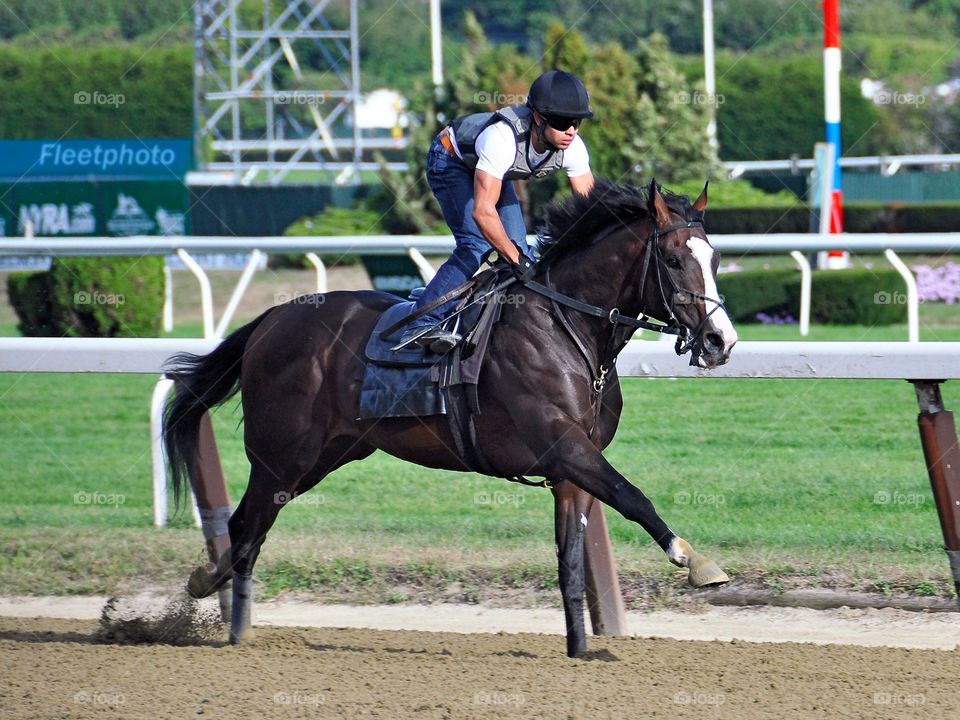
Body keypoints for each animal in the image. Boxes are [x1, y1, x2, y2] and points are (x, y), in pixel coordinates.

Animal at [165, 177, 740, 656]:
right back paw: (227, 620)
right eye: (672, 259)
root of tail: (271, 318)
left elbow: (572, 560)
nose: (721, 341)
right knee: (246, 530)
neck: (568, 325)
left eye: (715, 259)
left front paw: (580, 649)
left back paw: (218, 600)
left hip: (323, 456)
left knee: (248, 529)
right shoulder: (562, 444)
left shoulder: (571, 469)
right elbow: (631, 495)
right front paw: (694, 560)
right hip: (283, 457)